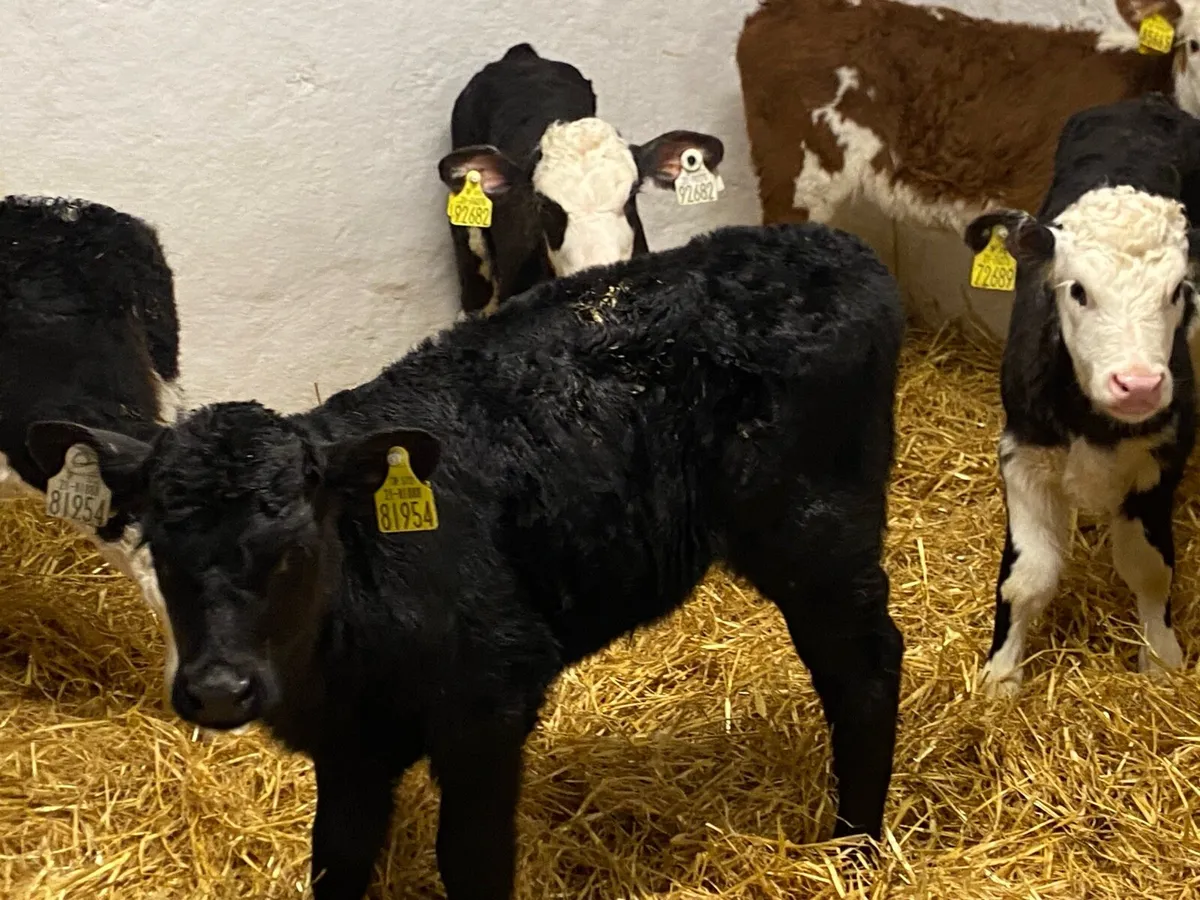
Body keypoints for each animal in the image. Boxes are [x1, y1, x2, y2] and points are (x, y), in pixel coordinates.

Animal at [27, 222, 905, 900]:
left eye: (297, 545)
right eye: (157, 542)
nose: (217, 690)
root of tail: (830, 244)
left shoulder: (490, 706)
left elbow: (471, 863)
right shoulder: (349, 750)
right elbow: (336, 861)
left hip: (817, 527)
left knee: (865, 666)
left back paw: (853, 847)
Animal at [962, 93, 1200, 697]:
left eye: (1178, 291)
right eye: (1078, 290)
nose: (1138, 384)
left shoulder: (1164, 457)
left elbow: (1149, 566)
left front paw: (1161, 658)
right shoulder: (1021, 452)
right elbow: (1028, 576)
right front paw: (1002, 675)